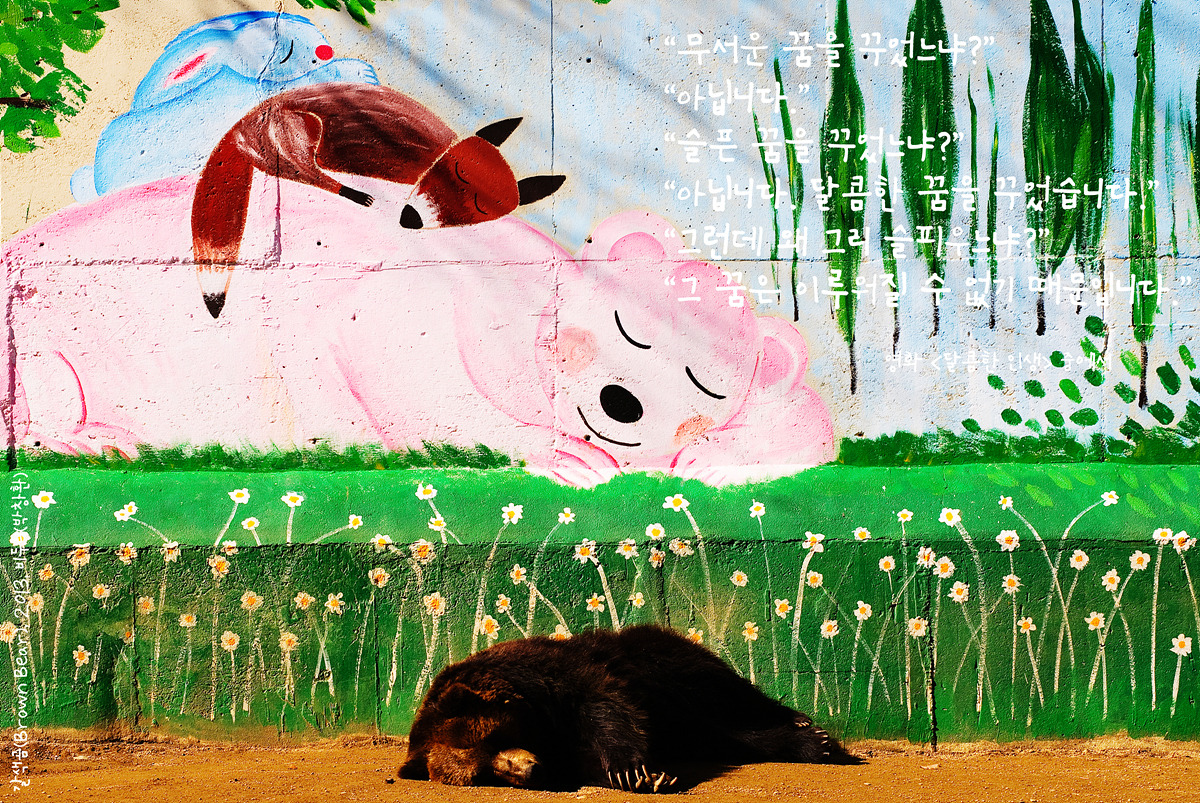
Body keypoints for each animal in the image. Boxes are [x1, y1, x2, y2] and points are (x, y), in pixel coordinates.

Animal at [399, 625, 856, 793]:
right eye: (484, 773)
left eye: (494, 738)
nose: (529, 771)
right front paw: (648, 777)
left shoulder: (563, 676)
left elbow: (606, 706)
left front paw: (633, 770)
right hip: (687, 721)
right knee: (731, 735)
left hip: (672, 663)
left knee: (736, 699)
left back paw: (808, 729)